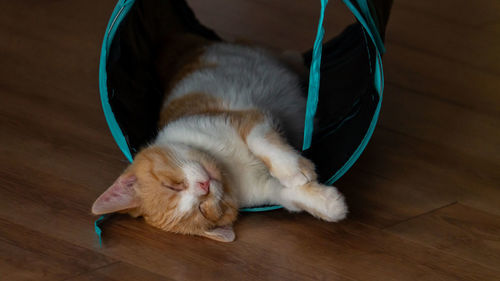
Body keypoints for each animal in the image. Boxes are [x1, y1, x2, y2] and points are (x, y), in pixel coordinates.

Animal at [91, 34, 348, 241]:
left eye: (172, 185)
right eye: (202, 210)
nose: (203, 186)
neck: (227, 166)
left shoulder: (247, 118)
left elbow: (261, 142)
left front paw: (293, 169)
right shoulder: (263, 190)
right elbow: (287, 195)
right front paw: (329, 205)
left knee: (285, 57)